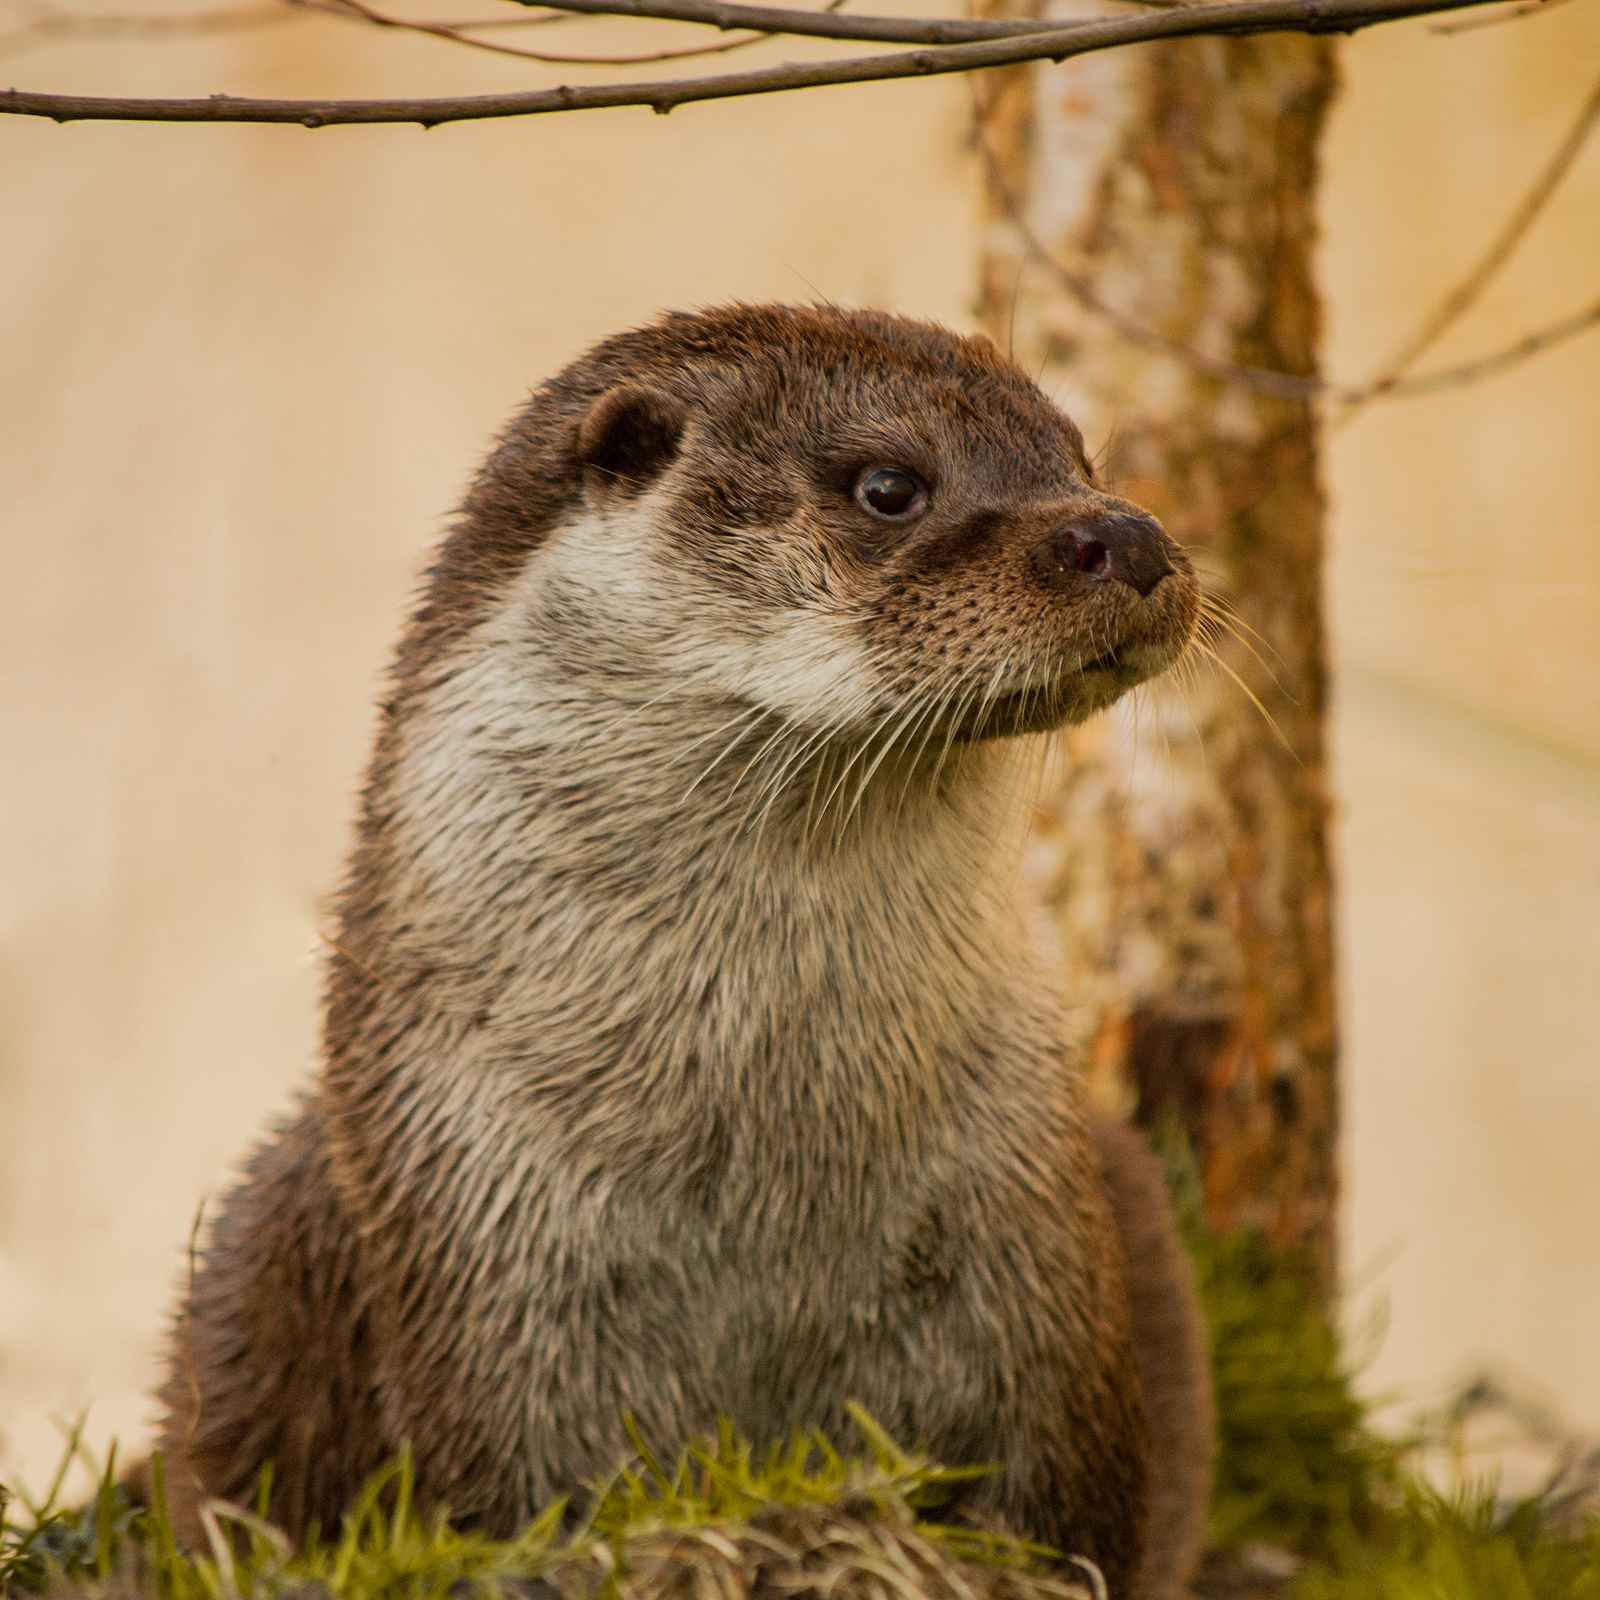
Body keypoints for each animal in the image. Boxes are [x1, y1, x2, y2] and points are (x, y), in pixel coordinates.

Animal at [162, 302, 1209, 1600]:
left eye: (1078, 456)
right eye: (886, 485)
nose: (1122, 531)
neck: (759, 1181)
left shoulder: (1034, 1272)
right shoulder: (485, 1275)